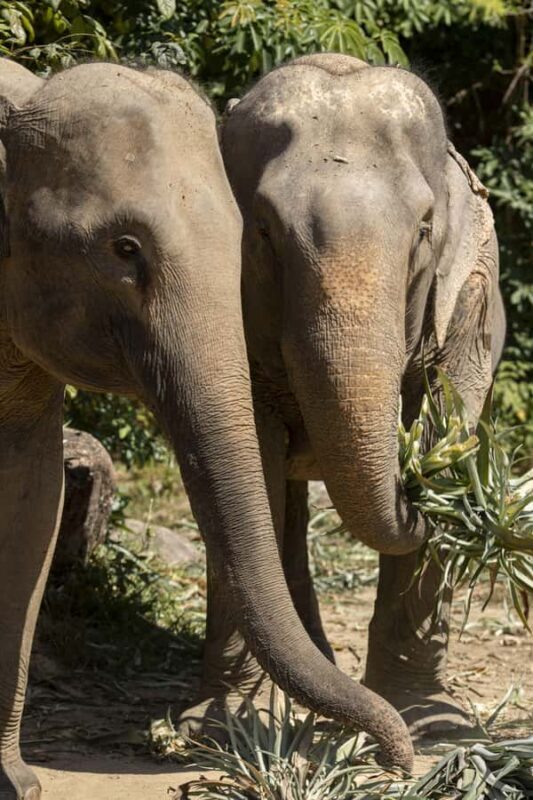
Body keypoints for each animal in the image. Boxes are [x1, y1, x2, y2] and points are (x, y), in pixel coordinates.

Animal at [213, 53, 507, 739]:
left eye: (424, 230)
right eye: (261, 231)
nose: (417, 494)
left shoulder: (470, 297)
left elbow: (448, 417)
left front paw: (433, 721)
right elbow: (251, 459)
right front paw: (224, 726)